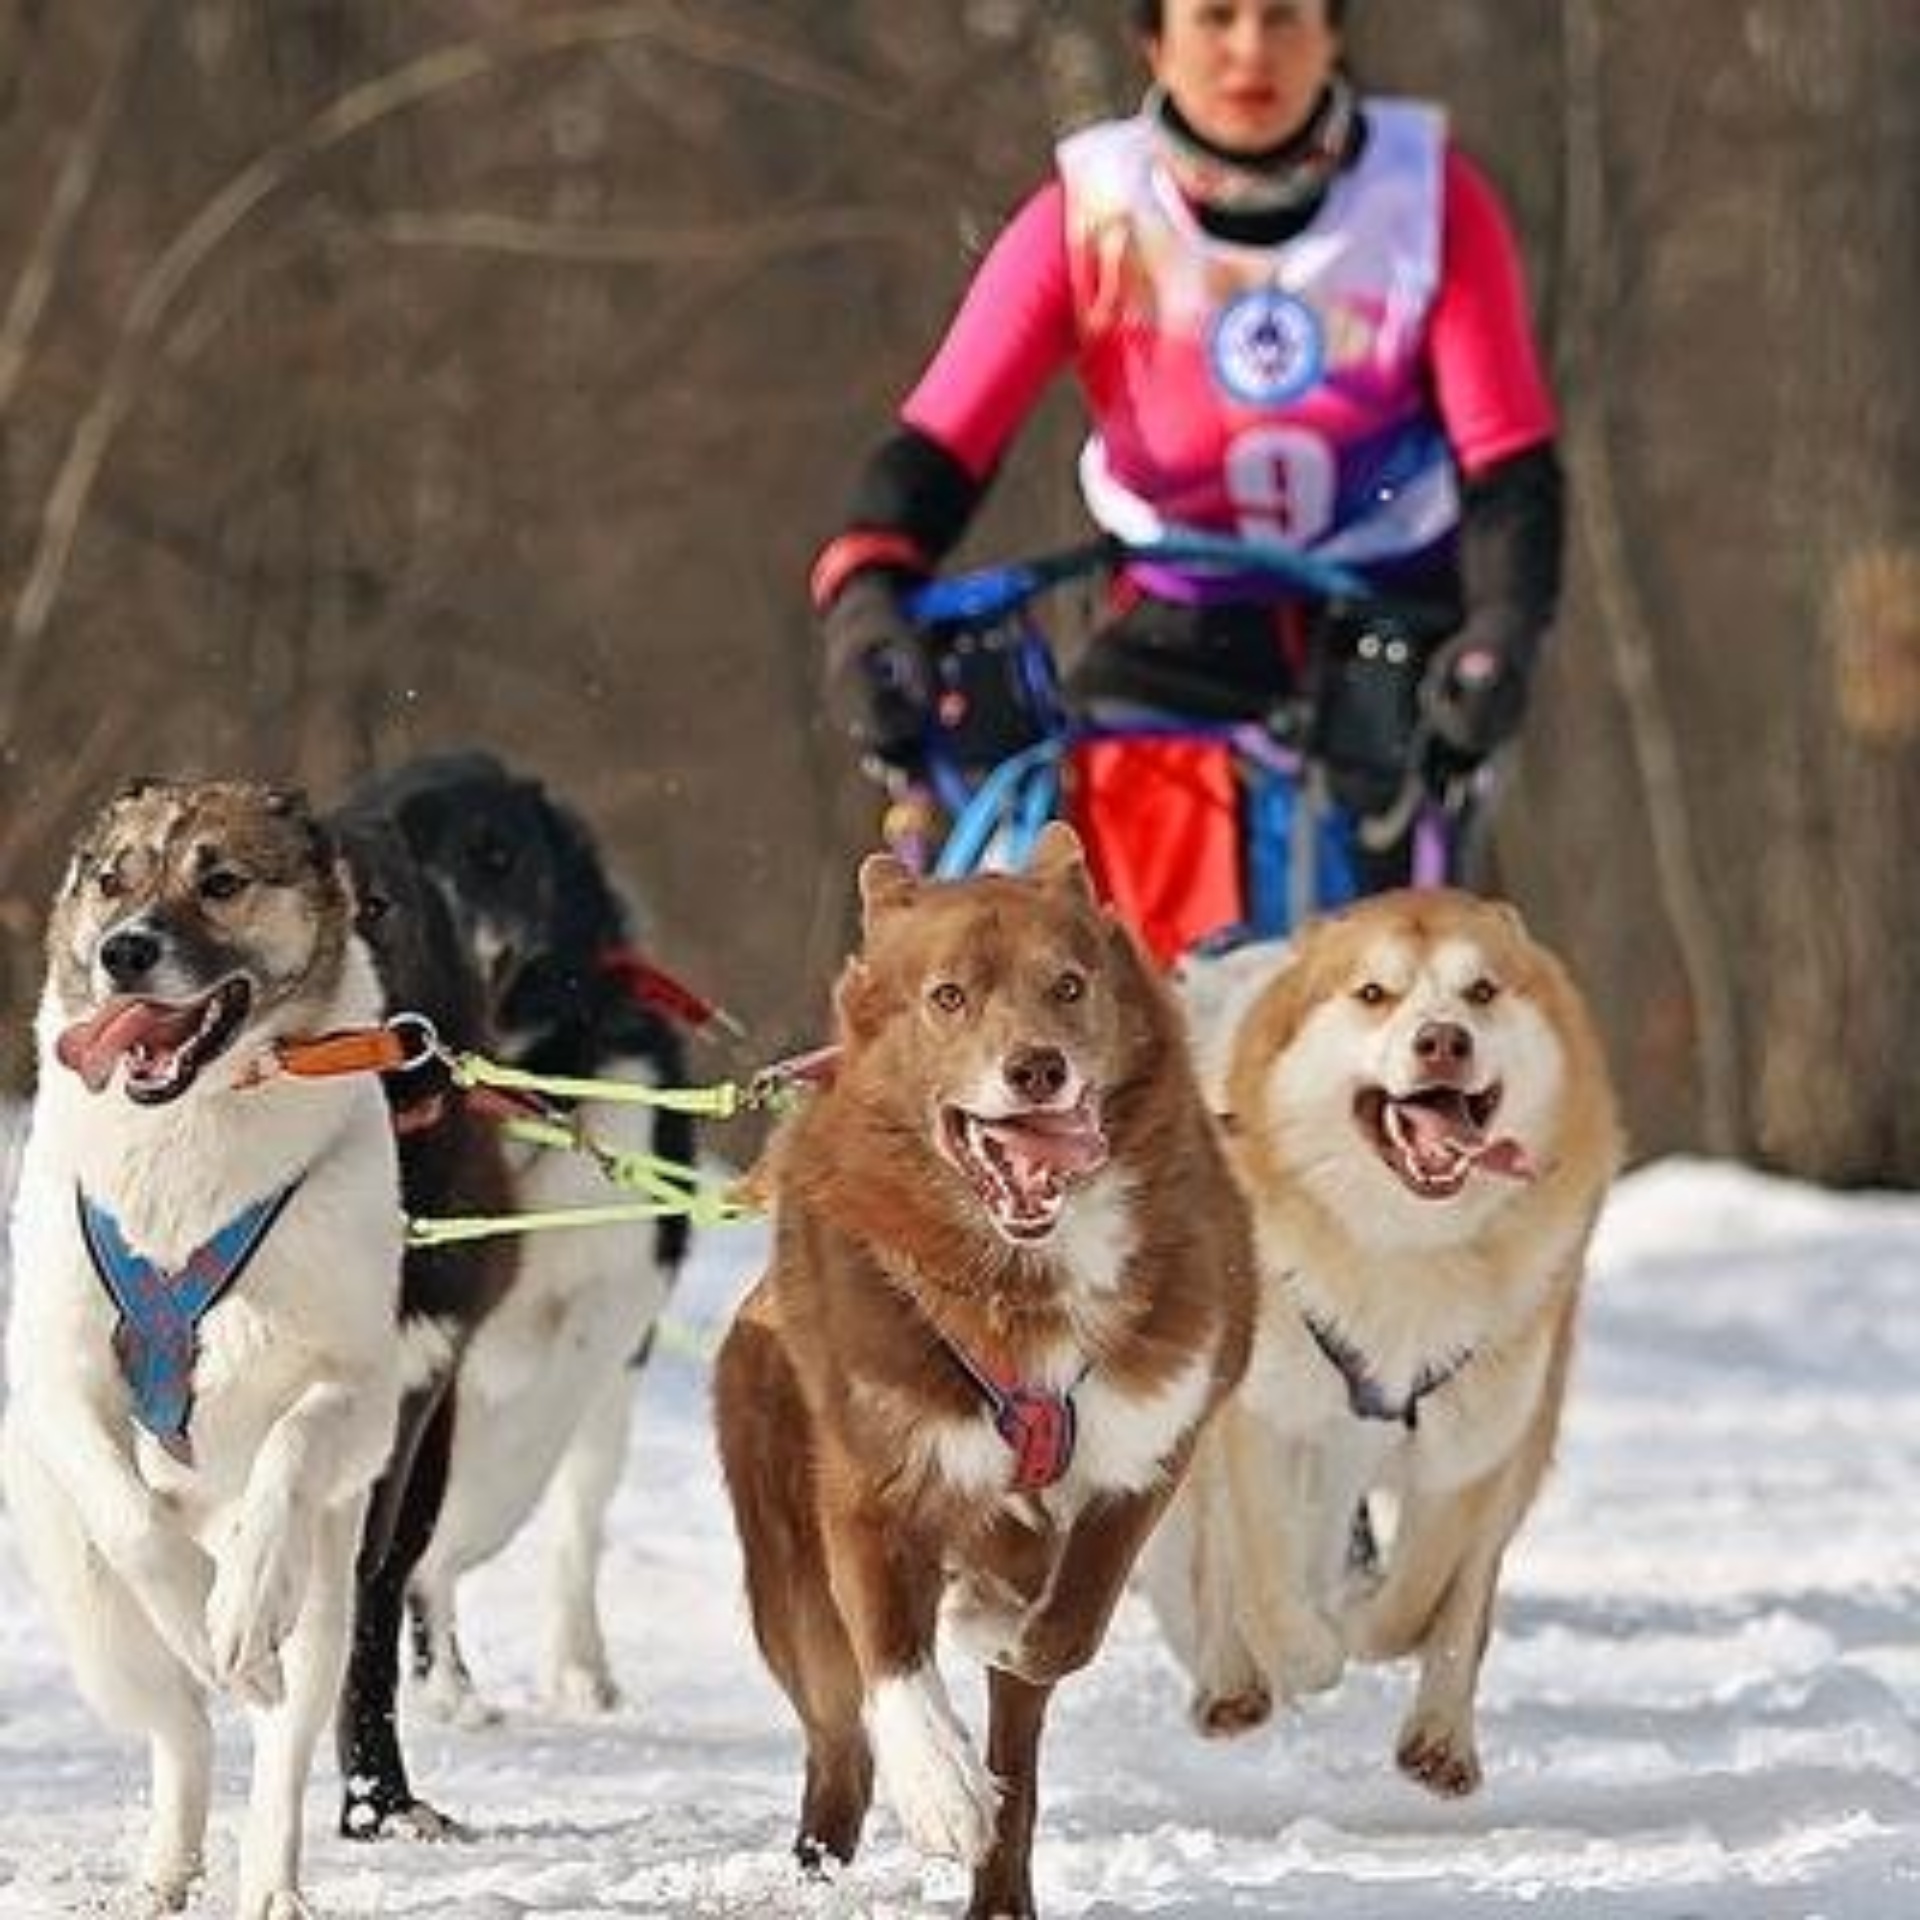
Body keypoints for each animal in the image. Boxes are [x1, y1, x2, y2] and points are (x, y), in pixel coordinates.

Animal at [0, 779, 401, 1920]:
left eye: (220, 881)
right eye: (114, 879)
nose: (125, 951)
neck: (193, 1140)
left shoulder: (360, 1388)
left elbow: (292, 1447)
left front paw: (240, 1595)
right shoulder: (59, 1383)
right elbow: (135, 1522)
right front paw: (194, 1600)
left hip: (331, 1601)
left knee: (281, 1730)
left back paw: (268, 1875)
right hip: (89, 1613)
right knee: (180, 1720)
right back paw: (166, 1866)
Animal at [714, 817, 1251, 1912]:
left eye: (1070, 985)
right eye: (949, 996)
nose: (1036, 1068)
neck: (1018, 1284)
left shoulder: (1148, 1446)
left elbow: (1065, 1630)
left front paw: (989, 1627)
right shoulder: (870, 1483)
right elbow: (892, 1652)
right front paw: (942, 1790)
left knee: (1020, 1740)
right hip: (787, 1582)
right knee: (840, 1743)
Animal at [1136, 883, 1620, 1797]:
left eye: (1481, 991)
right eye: (1372, 994)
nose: (1442, 1041)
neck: (1407, 1252)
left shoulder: (1479, 1438)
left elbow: (1432, 1592)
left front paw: (1383, 1641)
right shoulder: (1266, 1416)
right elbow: (1263, 1575)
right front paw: (1299, 1654)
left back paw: (1437, 1733)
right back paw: (1234, 1682)